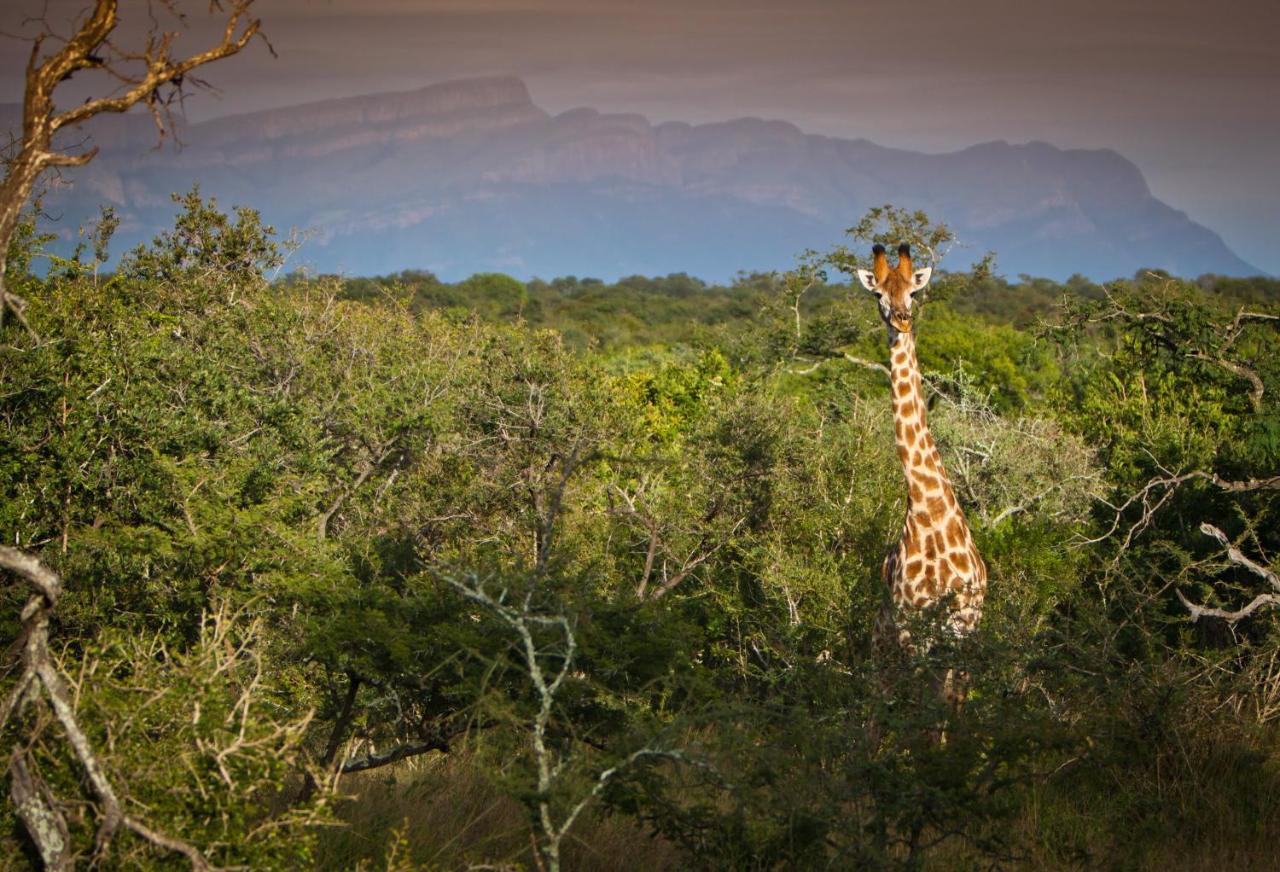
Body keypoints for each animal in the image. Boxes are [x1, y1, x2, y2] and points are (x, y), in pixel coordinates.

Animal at [860, 244, 988, 670]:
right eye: (878, 294)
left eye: (913, 292)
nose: (901, 319)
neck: (926, 509)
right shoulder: (910, 629)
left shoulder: (963, 628)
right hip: (883, 640)